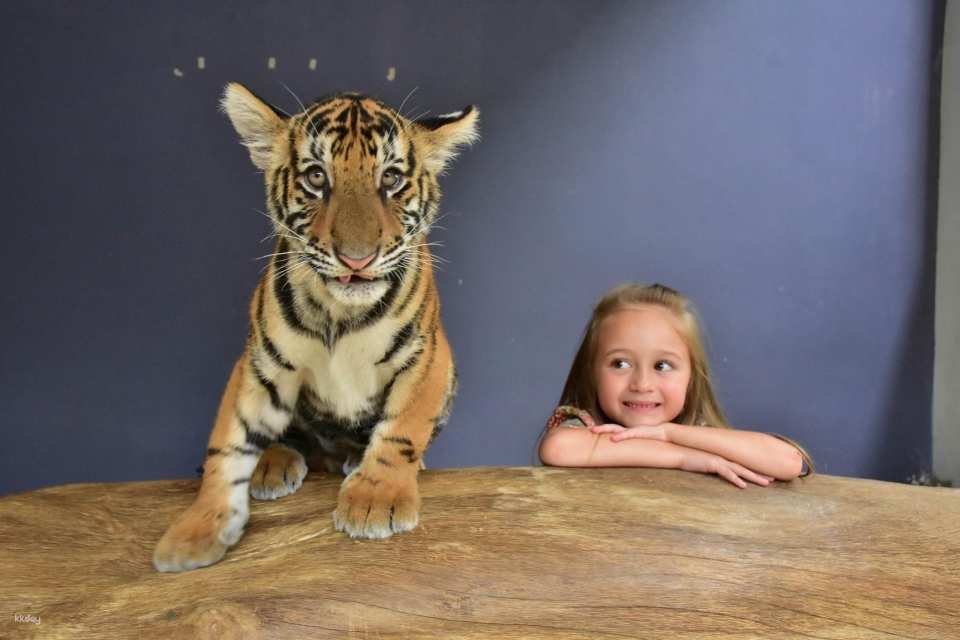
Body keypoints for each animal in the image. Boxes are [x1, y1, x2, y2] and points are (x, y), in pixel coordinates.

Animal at [153, 83, 479, 572]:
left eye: (390, 179)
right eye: (316, 177)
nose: (357, 259)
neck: (339, 313)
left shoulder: (427, 355)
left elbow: (403, 428)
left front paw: (374, 501)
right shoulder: (261, 363)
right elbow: (226, 447)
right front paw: (195, 531)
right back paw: (273, 463)